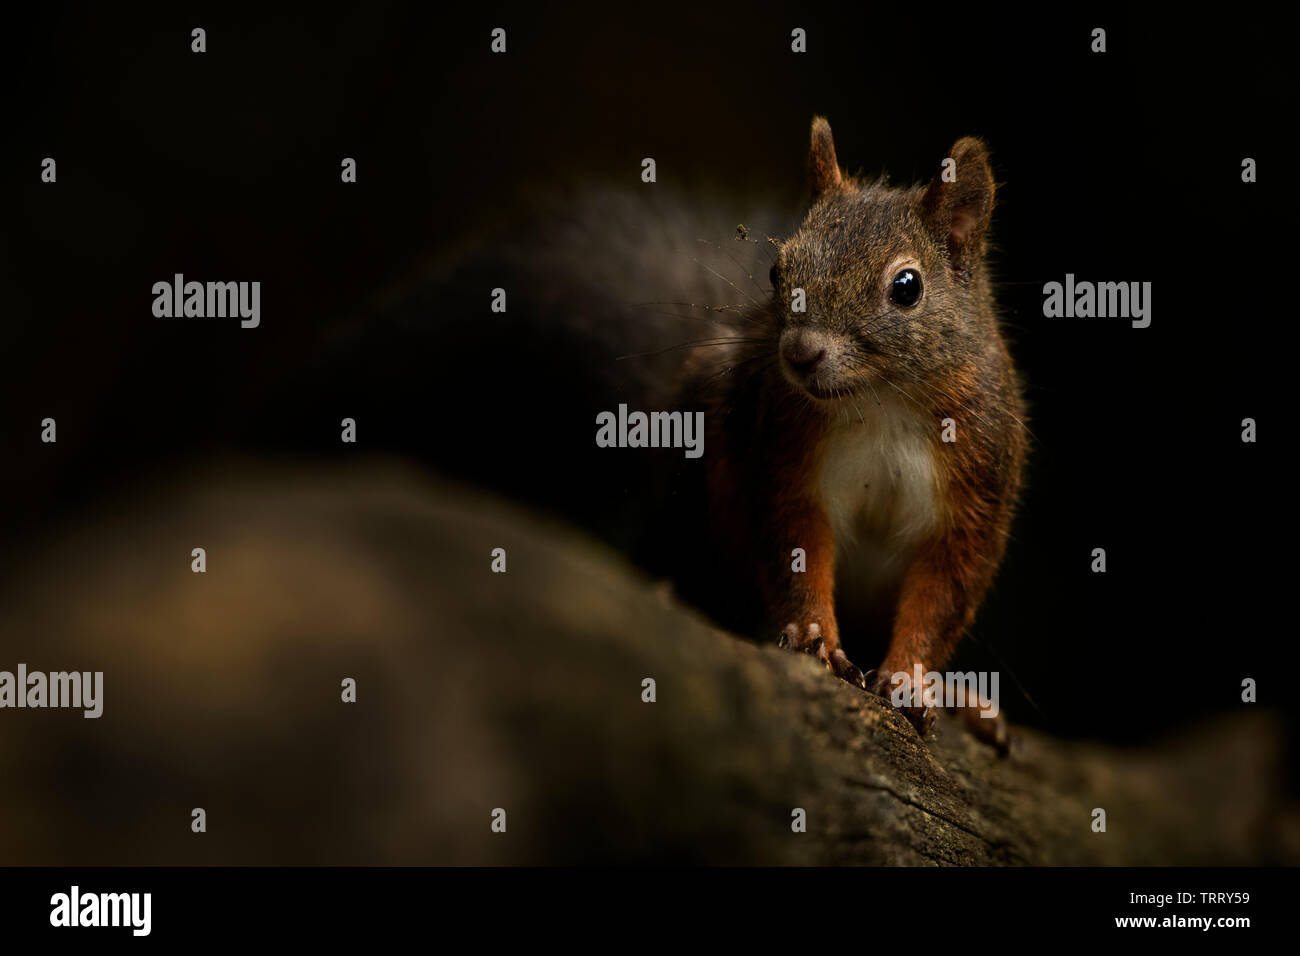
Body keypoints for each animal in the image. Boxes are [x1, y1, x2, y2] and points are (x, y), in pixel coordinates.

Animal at [670, 119, 1024, 743]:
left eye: (907, 287)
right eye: (776, 271)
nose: (799, 353)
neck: (879, 402)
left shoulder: (978, 478)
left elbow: (944, 589)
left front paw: (911, 678)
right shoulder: (784, 452)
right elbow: (796, 544)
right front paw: (815, 640)